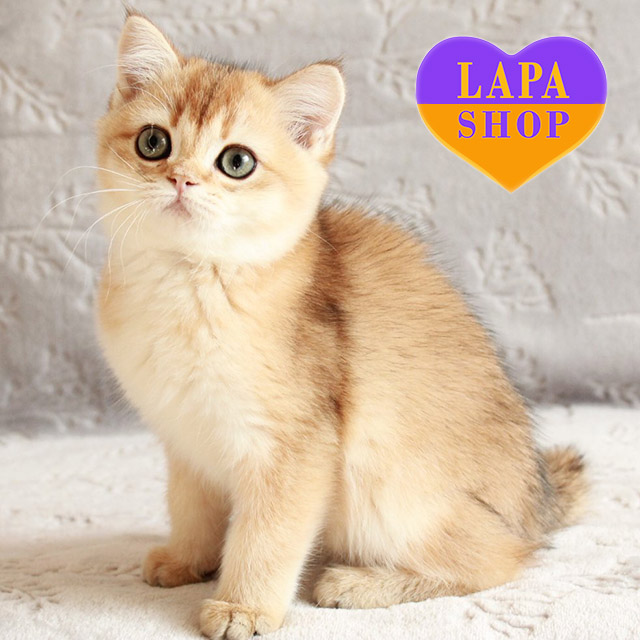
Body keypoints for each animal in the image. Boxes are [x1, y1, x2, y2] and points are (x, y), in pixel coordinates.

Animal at [95, 11, 586, 640]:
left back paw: (356, 583)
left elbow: (265, 538)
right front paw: (188, 560)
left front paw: (243, 607)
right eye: (154, 143)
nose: (181, 179)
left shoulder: (295, 448)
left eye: (236, 162)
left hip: (389, 489)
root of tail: (534, 506)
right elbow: (191, 508)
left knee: (499, 559)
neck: (187, 287)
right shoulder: (186, 437)